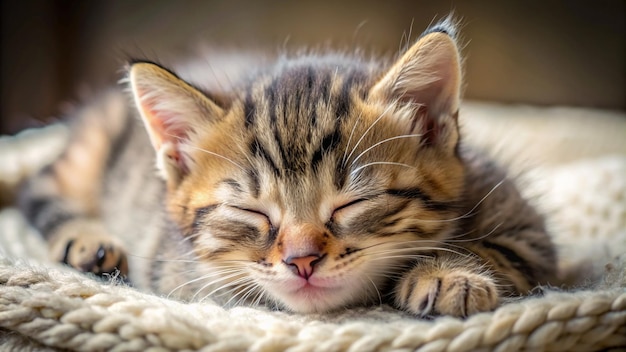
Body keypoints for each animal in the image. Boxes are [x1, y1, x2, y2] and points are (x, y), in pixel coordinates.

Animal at [19, 19, 556, 316]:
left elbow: (497, 249)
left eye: (353, 203)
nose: (302, 261)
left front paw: (447, 275)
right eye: (251, 212)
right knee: (37, 183)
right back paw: (88, 242)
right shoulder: (176, 270)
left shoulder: (525, 228)